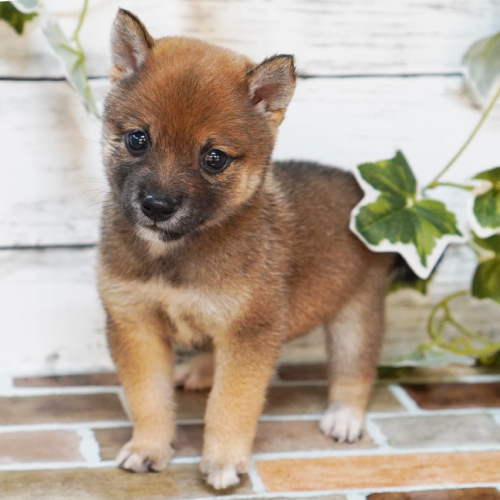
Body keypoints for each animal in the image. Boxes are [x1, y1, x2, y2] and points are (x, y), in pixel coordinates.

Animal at [96, 9, 394, 490]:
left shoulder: (249, 333)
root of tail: (361, 191)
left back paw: (345, 417)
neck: (177, 254)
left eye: (214, 158)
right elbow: (148, 399)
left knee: (355, 371)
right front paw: (149, 448)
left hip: (356, 313)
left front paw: (223, 459)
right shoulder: (135, 325)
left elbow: (231, 404)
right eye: (138, 139)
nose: (157, 206)